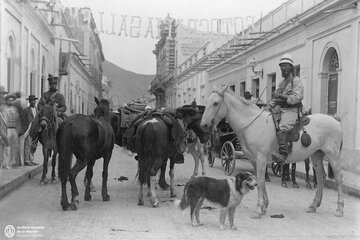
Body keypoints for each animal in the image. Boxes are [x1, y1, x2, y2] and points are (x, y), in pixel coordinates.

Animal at [201, 85, 344, 218]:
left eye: (215, 103)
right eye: (207, 102)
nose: (203, 125)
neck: (252, 124)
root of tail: (336, 120)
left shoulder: (261, 158)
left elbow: (260, 182)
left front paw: (259, 209)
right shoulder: (254, 160)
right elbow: (261, 181)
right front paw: (264, 206)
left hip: (332, 154)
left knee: (338, 177)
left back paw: (339, 209)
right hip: (316, 155)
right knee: (321, 177)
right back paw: (314, 205)